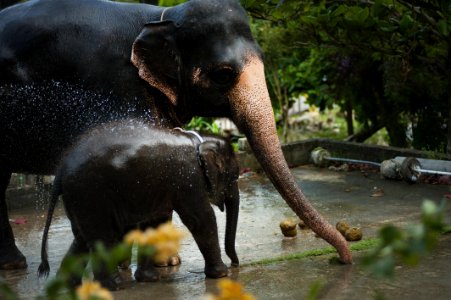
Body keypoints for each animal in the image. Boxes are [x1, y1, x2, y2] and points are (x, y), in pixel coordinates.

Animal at [0, 0, 354, 270]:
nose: (343, 259)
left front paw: (167, 264)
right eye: (223, 74)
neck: (160, 17)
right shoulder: (118, 86)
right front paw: (152, 265)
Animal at [38, 118, 242, 290]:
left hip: (80, 199)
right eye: (234, 178)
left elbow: (154, 223)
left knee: (83, 238)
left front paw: (149, 279)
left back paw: (71, 285)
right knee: (103, 237)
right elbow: (200, 219)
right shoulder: (188, 179)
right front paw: (221, 275)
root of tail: (61, 170)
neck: (198, 141)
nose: (236, 263)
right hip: (90, 194)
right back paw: (114, 286)